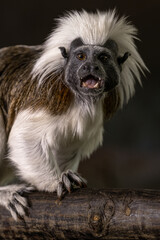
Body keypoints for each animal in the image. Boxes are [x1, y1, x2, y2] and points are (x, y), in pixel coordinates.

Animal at [0, 9, 148, 219]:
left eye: (103, 58)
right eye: (81, 57)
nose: (90, 67)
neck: (82, 99)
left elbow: (67, 144)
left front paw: (65, 174)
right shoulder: (47, 95)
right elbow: (25, 136)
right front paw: (56, 181)